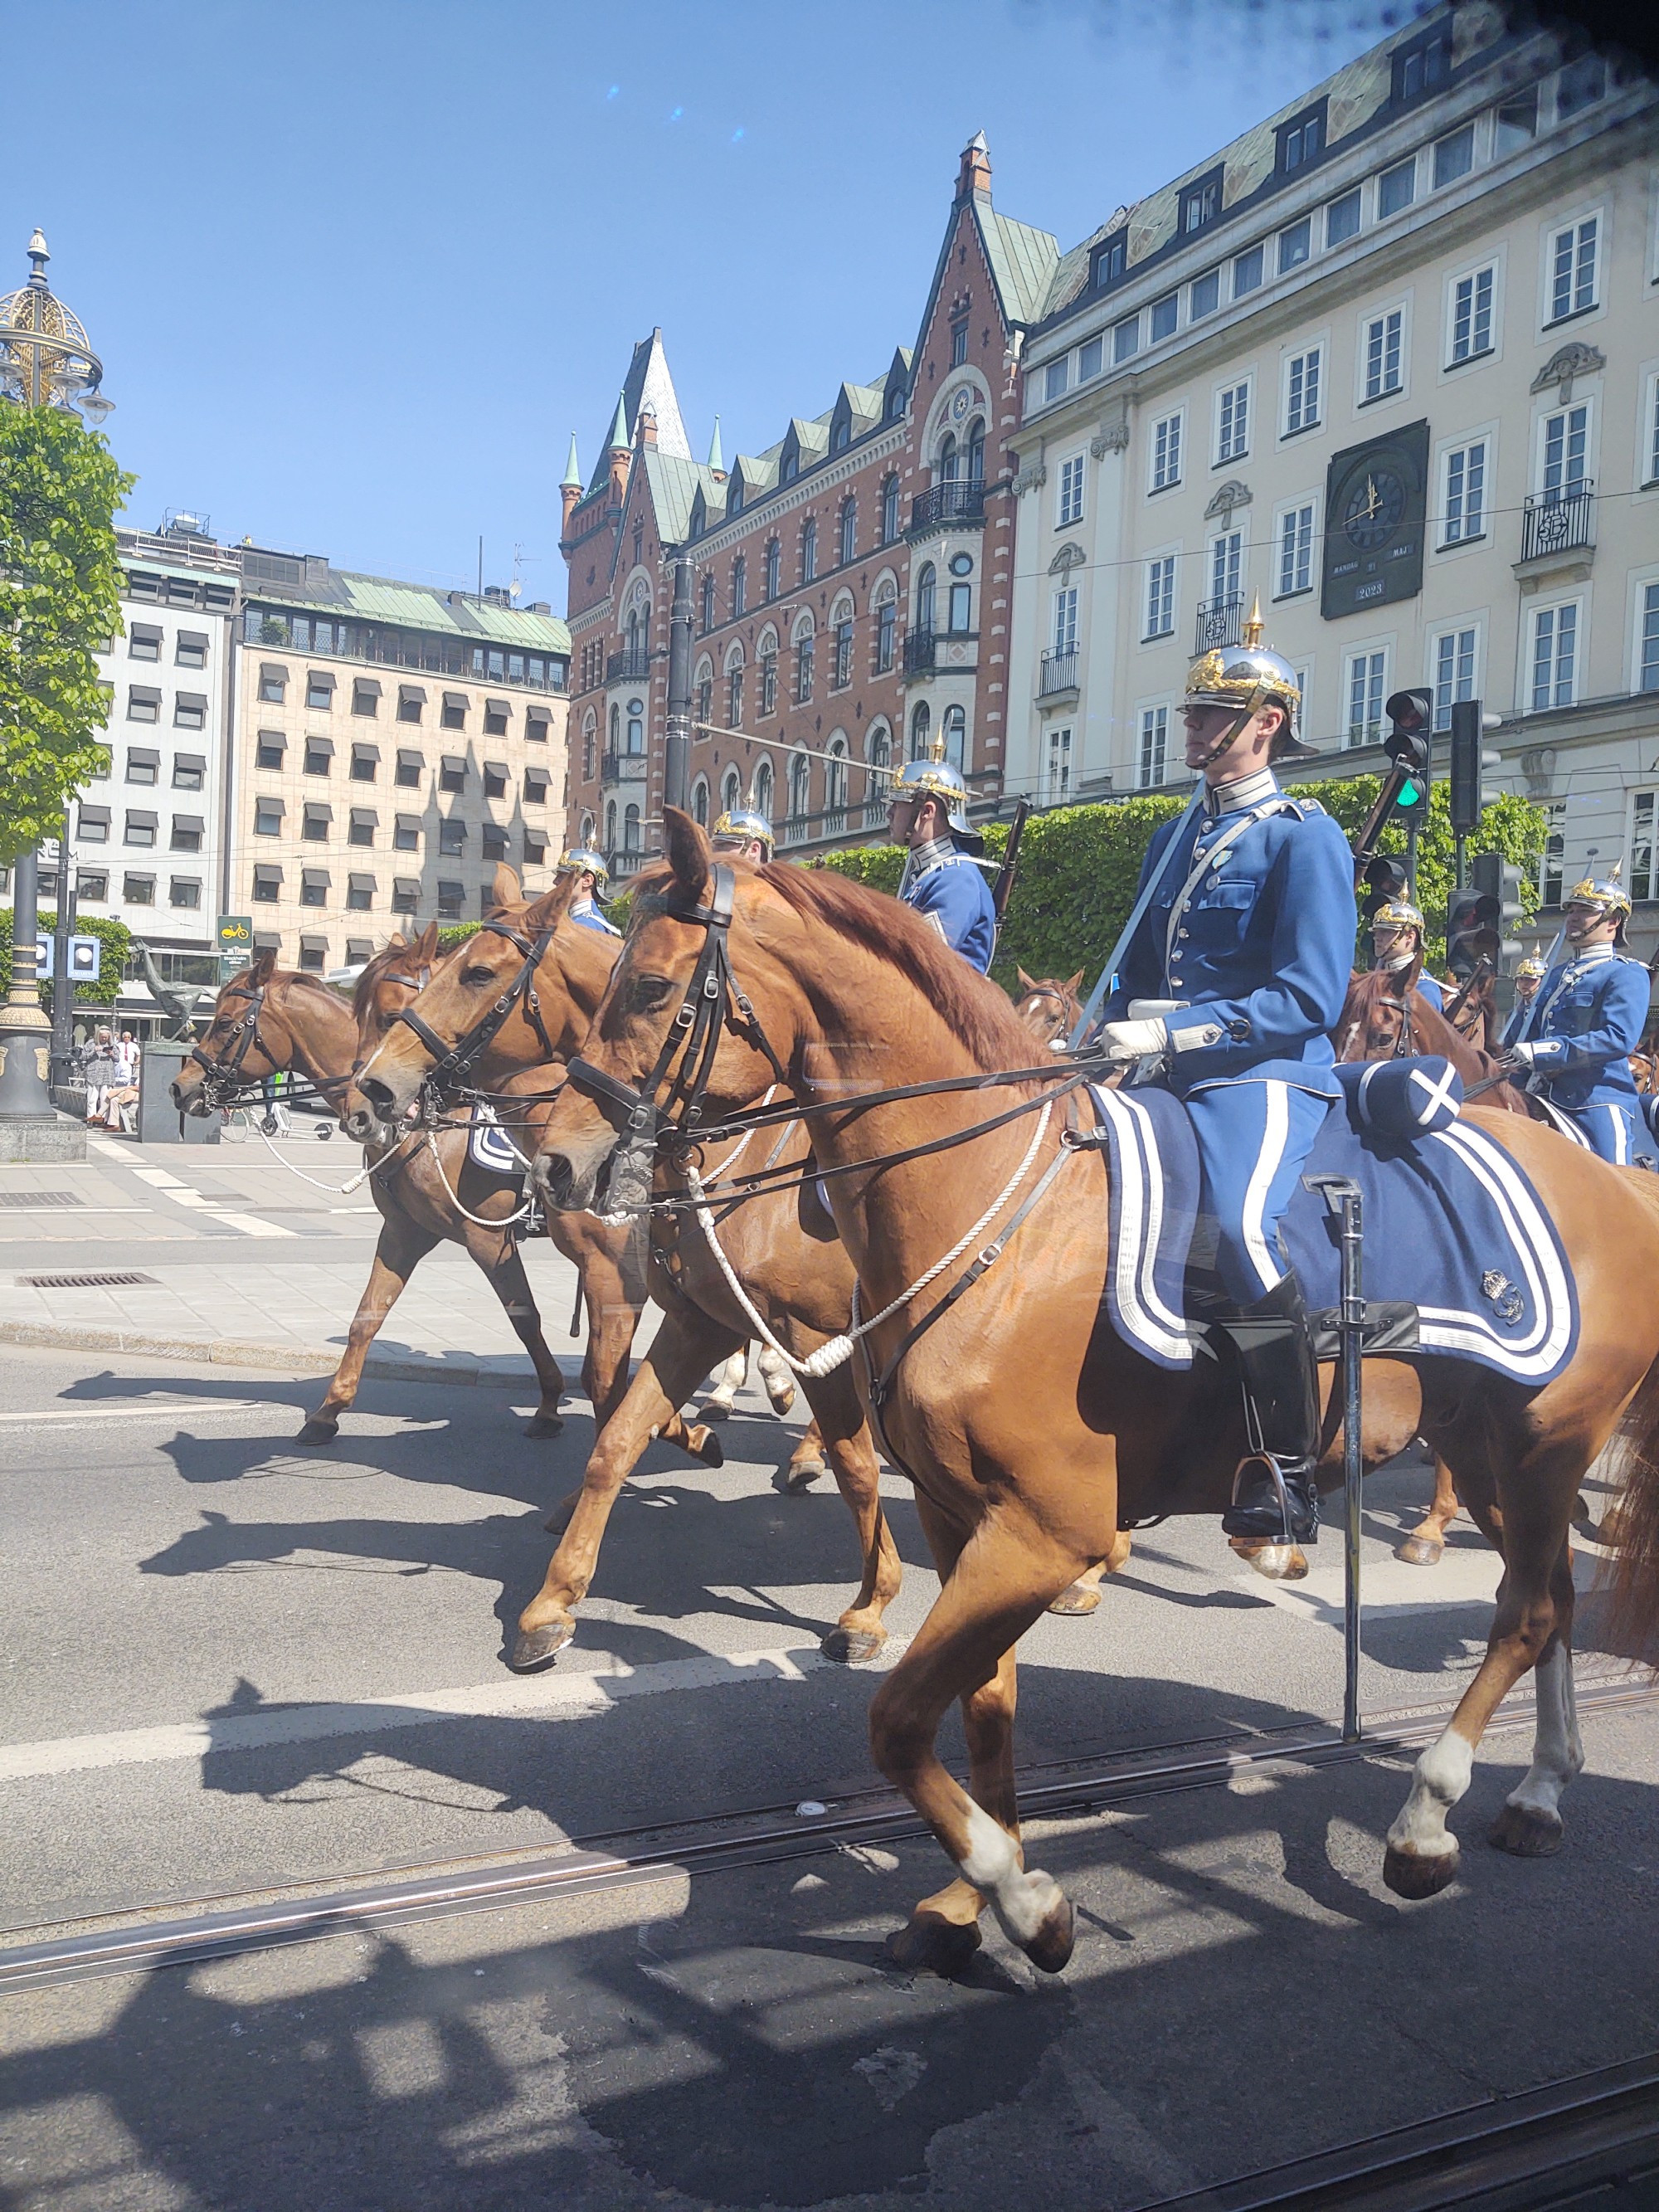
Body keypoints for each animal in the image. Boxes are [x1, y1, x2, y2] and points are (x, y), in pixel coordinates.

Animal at [528, 822, 1659, 1981]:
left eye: (650, 984)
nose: (554, 1163)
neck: (995, 1219)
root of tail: (1614, 1183)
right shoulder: (962, 1517)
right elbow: (984, 1708)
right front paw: (965, 1897)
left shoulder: (1045, 1530)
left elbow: (899, 1719)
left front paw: (1025, 1900)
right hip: (1483, 1452)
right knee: (1549, 1596)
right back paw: (1538, 1789)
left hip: (1541, 1446)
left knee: (1526, 1609)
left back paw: (1425, 1819)